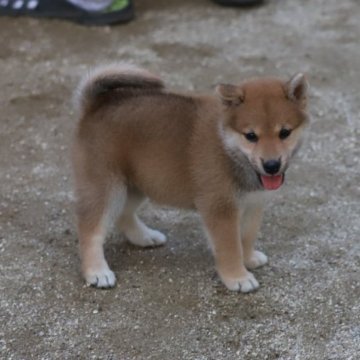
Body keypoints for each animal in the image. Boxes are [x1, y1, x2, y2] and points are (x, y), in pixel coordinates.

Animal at [71, 65, 308, 292]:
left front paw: (248, 259)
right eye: (251, 136)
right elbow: (230, 247)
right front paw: (238, 277)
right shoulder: (220, 208)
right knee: (90, 231)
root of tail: (94, 106)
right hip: (108, 188)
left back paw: (144, 237)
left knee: (123, 214)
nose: (272, 166)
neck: (228, 148)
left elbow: (247, 237)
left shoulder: (253, 204)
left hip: (137, 184)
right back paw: (97, 272)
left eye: (284, 133)